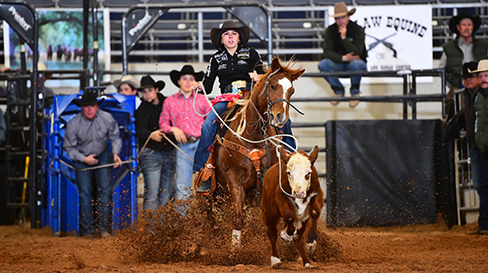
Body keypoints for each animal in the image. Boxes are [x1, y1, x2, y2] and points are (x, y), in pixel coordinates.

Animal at [211, 56, 304, 244]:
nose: (281, 117)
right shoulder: (234, 178)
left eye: (291, 91)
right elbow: (238, 217)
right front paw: (235, 248)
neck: (253, 135)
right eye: (273, 86)